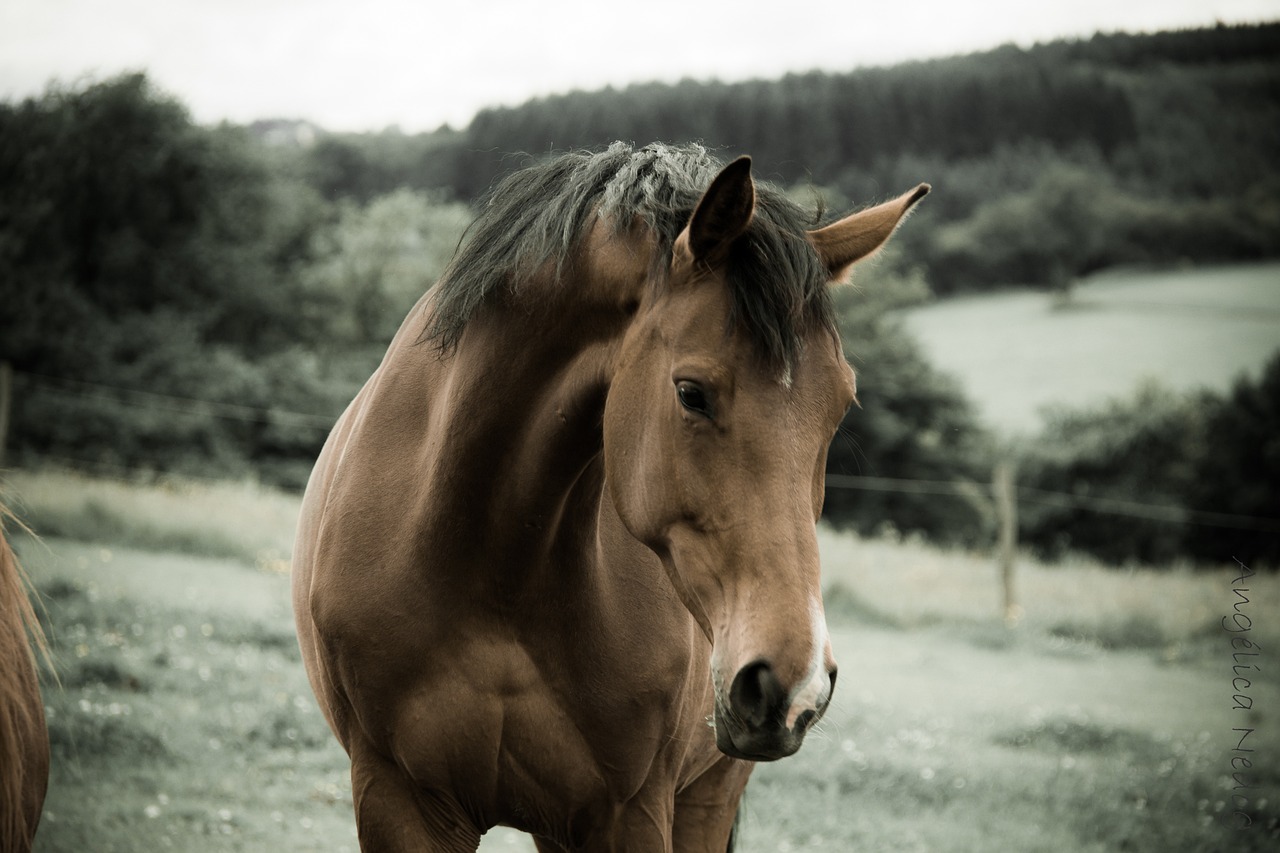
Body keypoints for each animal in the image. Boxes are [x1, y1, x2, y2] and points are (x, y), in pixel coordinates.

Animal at [293, 142, 926, 845]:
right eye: (691, 393)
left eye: (840, 406)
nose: (795, 686)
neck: (492, 566)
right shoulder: (396, 797)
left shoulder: (630, 812)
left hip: (707, 796)